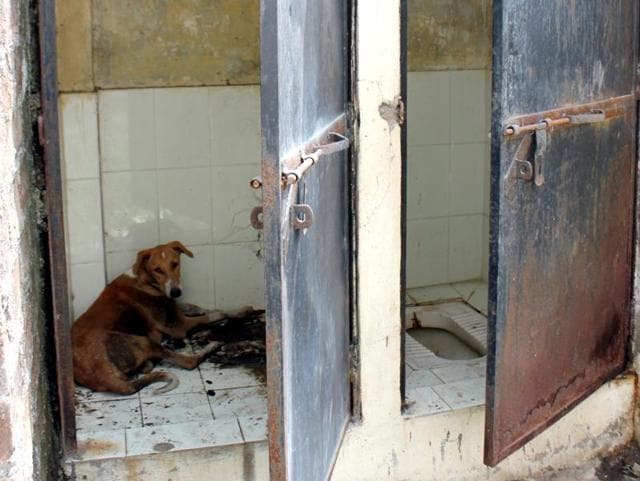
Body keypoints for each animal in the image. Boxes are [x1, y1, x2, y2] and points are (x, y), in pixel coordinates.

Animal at [70, 240, 250, 394]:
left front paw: (240, 309)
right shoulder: (178, 325)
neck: (145, 280)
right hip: (140, 341)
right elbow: (215, 313)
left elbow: (199, 307)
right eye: (158, 270)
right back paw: (213, 345)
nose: (176, 292)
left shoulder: (173, 309)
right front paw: (239, 312)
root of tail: (102, 376)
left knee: (149, 365)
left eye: (175, 264)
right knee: (188, 362)